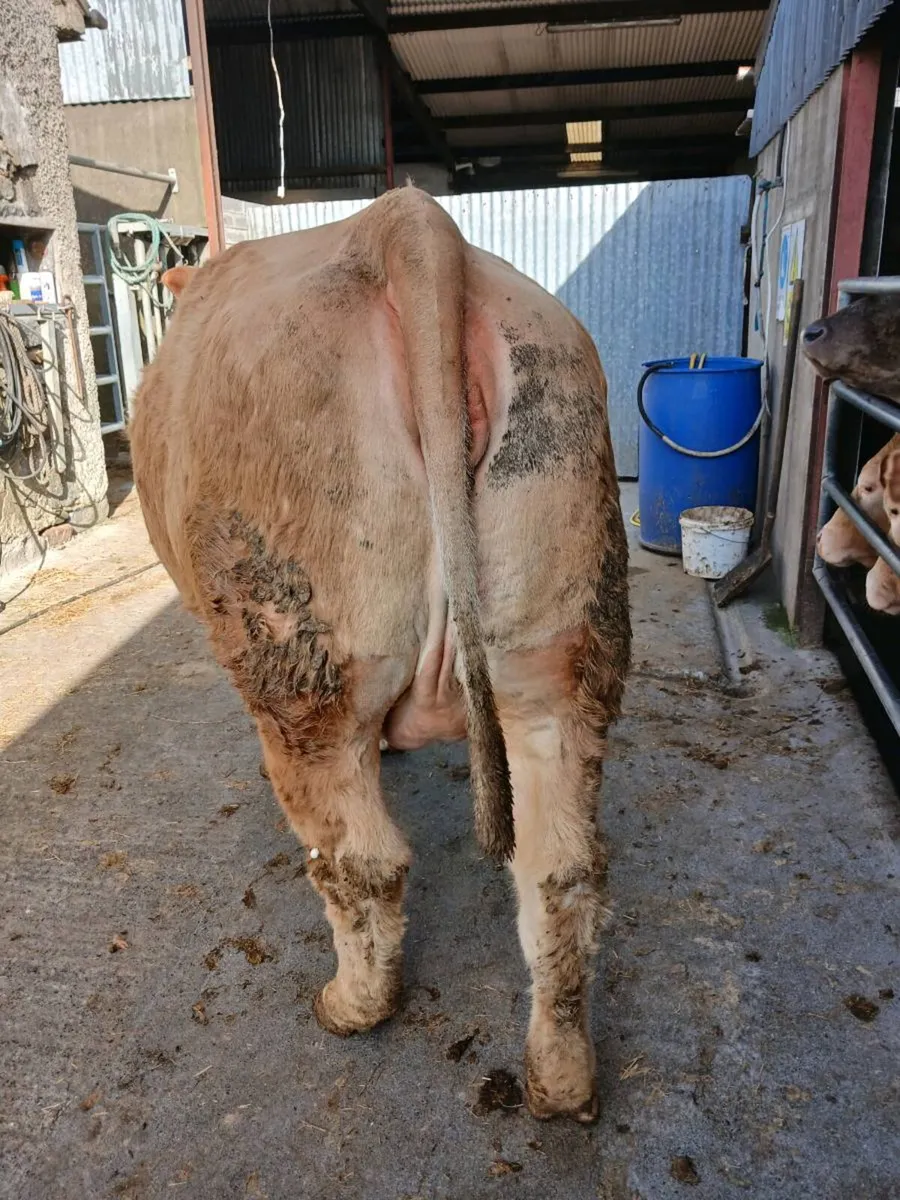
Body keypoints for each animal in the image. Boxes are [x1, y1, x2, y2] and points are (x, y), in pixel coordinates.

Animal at [129, 186, 631, 1123]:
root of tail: (405, 221)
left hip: (299, 657)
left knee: (359, 859)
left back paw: (351, 1005)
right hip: (561, 623)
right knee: (562, 870)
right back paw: (559, 1079)